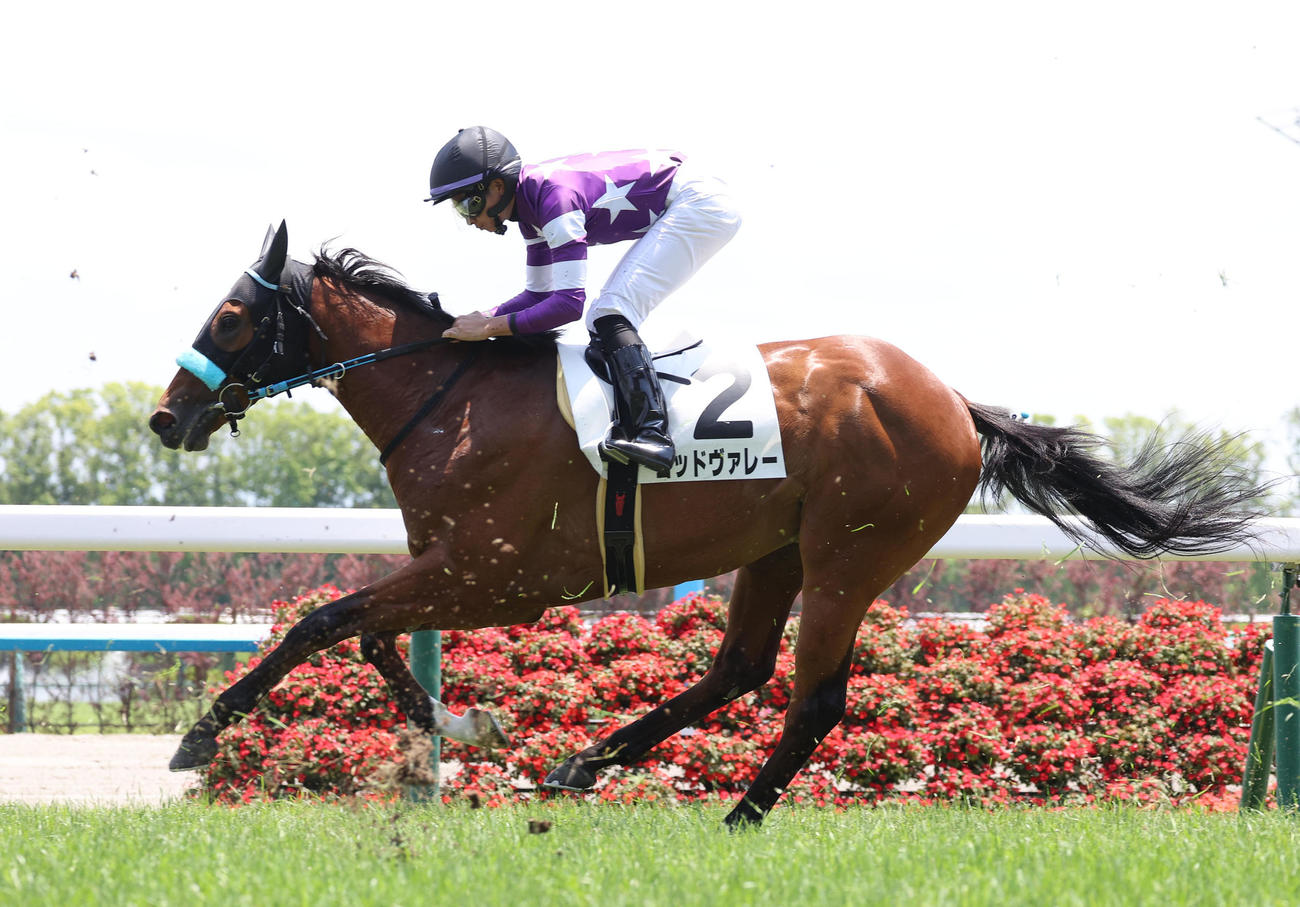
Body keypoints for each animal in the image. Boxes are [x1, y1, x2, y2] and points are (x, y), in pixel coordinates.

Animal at [149, 222, 1265, 826]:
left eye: (232, 318)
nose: (168, 413)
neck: (451, 395)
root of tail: (953, 400)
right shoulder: (459, 571)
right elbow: (368, 632)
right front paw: (468, 730)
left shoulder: (501, 577)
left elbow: (325, 621)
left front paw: (200, 736)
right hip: (775, 549)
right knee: (739, 668)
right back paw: (586, 763)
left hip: (849, 553)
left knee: (812, 698)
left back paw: (736, 813)